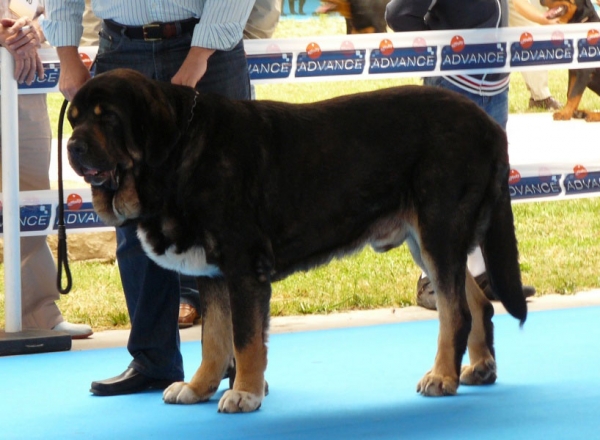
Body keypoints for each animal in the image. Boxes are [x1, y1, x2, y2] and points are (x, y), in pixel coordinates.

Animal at [64, 69, 524, 412]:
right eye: (75, 118)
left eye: (107, 117)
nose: (71, 146)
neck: (178, 154)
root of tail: (488, 125)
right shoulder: (212, 272)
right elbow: (214, 339)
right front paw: (198, 387)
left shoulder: (243, 266)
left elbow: (245, 339)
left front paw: (245, 393)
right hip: (427, 240)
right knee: (476, 302)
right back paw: (480, 368)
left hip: (439, 228)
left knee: (455, 311)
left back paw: (442, 376)